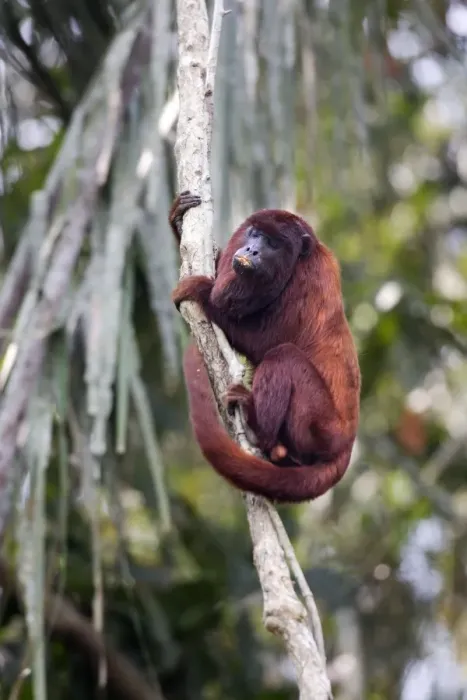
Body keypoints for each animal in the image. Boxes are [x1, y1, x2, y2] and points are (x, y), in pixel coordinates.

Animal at [169, 191, 361, 503]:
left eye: (272, 244)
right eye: (256, 234)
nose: (252, 249)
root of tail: (346, 447)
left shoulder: (307, 281)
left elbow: (267, 341)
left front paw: (201, 291)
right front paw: (176, 218)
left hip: (321, 428)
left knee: (283, 356)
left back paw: (257, 425)